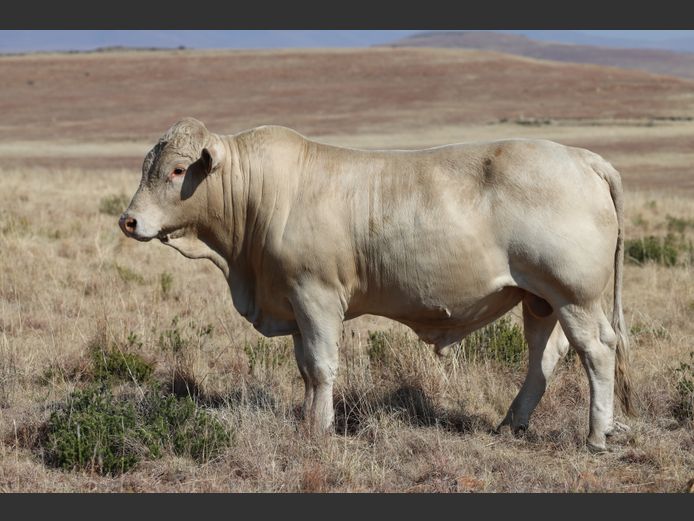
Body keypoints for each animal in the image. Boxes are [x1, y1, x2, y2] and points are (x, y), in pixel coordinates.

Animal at [119, 117, 633, 452]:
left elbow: (322, 365)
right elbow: (306, 368)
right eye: (147, 166)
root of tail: (581, 157)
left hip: (575, 295)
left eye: (178, 170)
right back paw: (513, 423)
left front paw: (320, 429)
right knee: (543, 354)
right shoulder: (293, 302)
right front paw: (308, 420)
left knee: (596, 349)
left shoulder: (316, 295)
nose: (129, 220)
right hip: (539, 298)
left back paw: (596, 435)